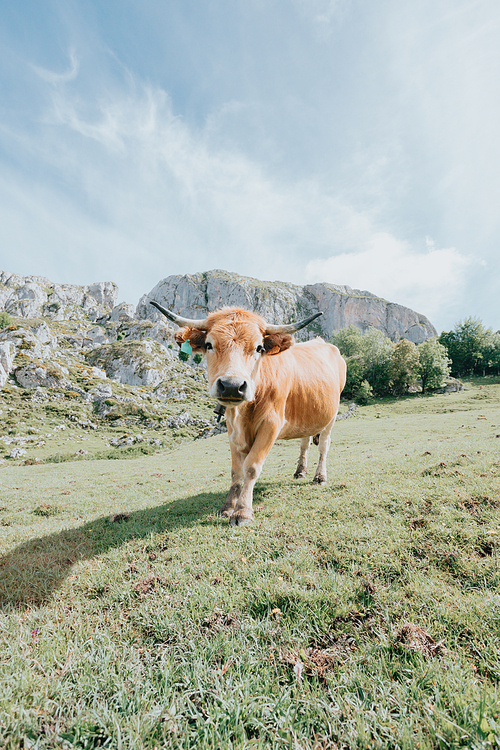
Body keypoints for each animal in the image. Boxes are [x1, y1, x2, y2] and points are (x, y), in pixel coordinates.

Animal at [152, 302, 346, 524]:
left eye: (259, 348)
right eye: (209, 345)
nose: (231, 386)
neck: (242, 414)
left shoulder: (271, 424)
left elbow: (252, 467)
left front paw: (243, 511)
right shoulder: (231, 428)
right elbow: (236, 471)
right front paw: (227, 507)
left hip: (331, 416)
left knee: (324, 446)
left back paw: (319, 477)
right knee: (304, 443)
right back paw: (300, 471)